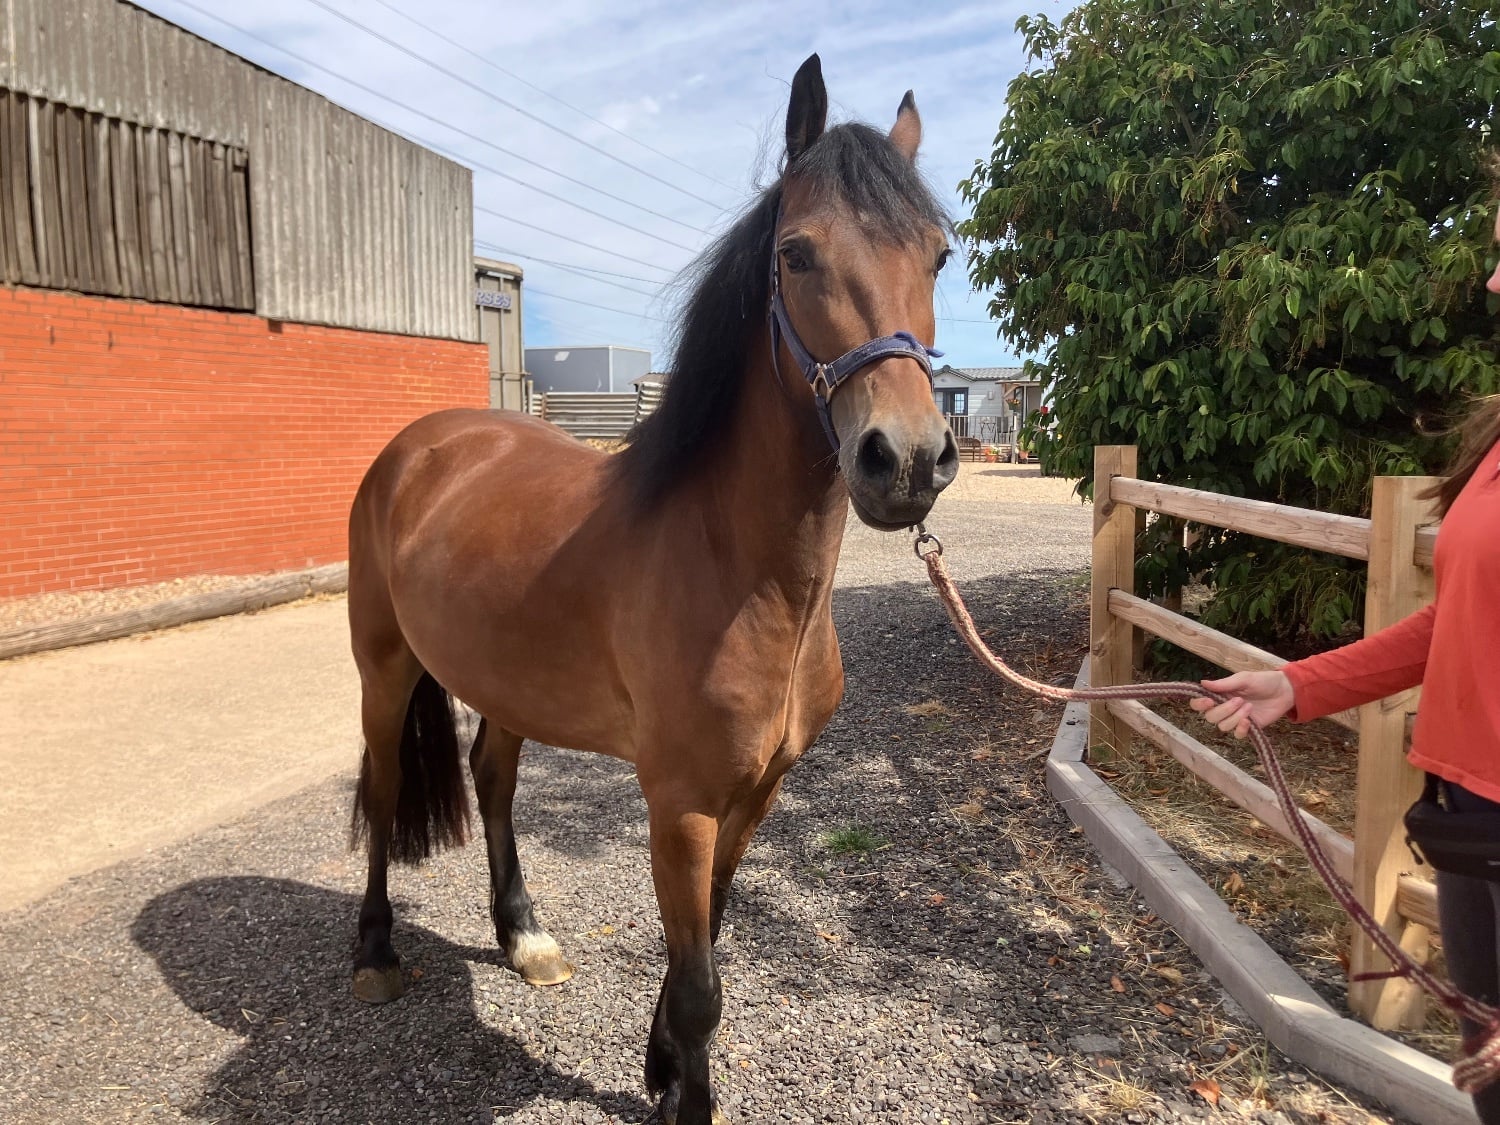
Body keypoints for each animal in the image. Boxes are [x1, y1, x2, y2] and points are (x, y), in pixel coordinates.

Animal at [345, 53, 958, 1124]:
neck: (742, 574)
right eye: (796, 254)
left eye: (939, 256)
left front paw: (662, 1066)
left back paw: (524, 936)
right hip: (384, 668)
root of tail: (418, 445)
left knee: (493, 779)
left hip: (507, 685)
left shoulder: (753, 796)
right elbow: (704, 982)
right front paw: (683, 1090)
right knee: (382, 791)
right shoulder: (679, 803)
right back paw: (377, 951)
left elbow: (703, 947)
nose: (909, 460)